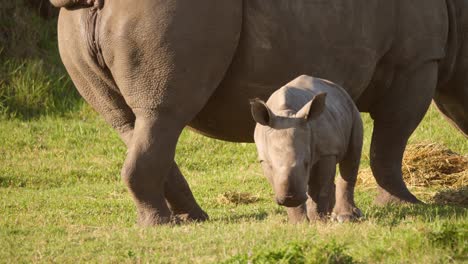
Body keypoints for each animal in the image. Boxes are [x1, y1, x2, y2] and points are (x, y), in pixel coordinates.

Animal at [250, 75, 364, 224]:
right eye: (272, 166)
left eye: (306, 163)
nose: (290, 198)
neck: (286, 112)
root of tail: (337, 87)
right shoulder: (264, 159)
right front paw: (298, 223)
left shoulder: (326, 152)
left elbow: (318, 187)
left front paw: (318, 222)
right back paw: (331, 215)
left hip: (352, 110)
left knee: (352, 156)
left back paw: (344, 218)